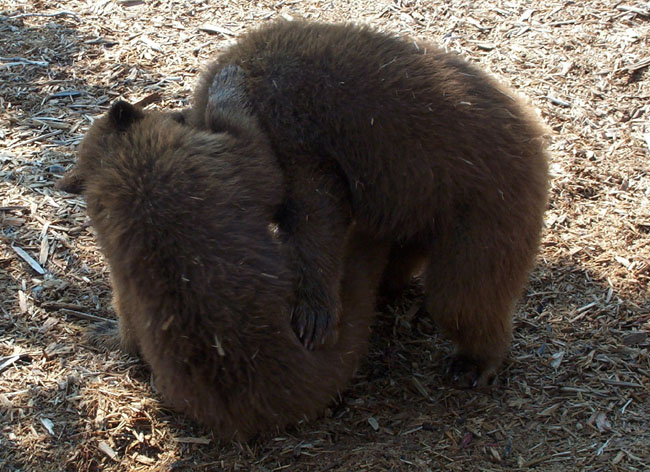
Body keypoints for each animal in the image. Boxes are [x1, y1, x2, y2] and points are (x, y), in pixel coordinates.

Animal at [183, 20, 550, 386]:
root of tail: (535, 131)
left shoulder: (292, 136)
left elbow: (317, 216)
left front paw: (313, 318)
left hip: (487, 203)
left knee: (462, 295)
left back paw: (473, 361)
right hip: (418, 201)